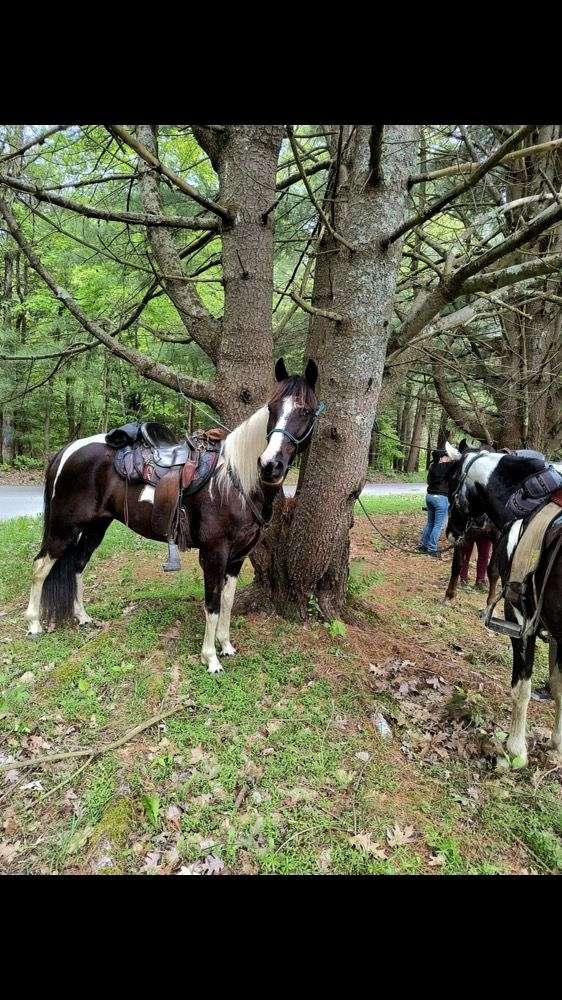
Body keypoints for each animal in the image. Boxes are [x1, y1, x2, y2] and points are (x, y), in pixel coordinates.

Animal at [27, 360, 320, 672]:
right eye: (272, 408)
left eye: (305, 411)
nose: (269, 465)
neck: (235, 481)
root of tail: (66, 452)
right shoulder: (215, 553)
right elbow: (212, 604)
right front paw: (211, 658)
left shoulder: (237, 557)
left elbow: (227, 601)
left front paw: (226, 646)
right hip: (64, 526)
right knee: (40, 566)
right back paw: (33, 624)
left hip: (96, 527)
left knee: (78, 565)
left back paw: (82, 617)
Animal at [442, 442, 560, 760]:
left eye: (452, 482)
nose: (451, 532)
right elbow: (558, 686)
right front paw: (557, 744)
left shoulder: (520, 619)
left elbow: (522, 687)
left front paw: (516, 750)